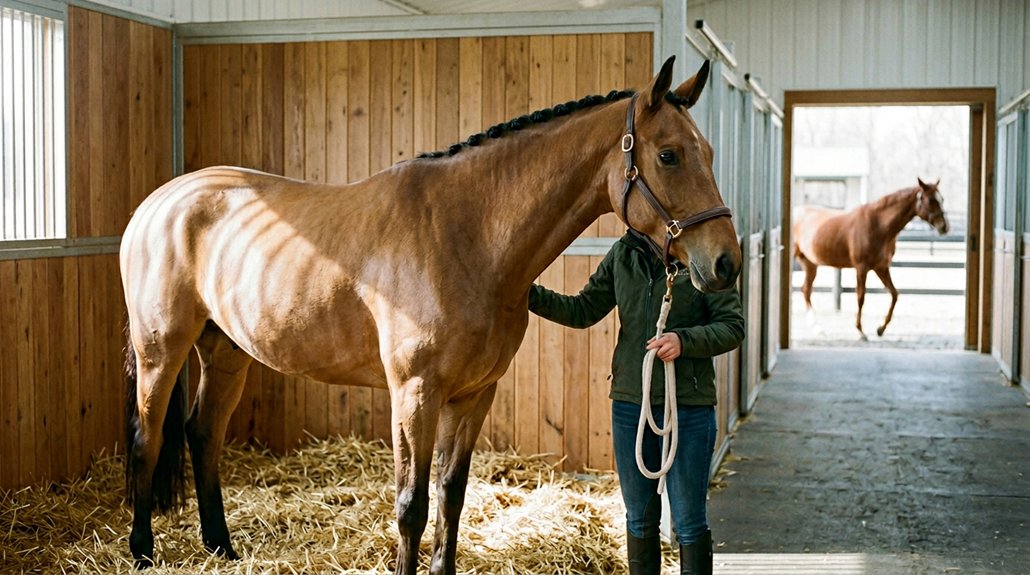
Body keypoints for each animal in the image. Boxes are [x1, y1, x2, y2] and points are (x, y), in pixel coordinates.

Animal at [120, 56, 741, 575]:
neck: (467, 235)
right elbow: (411, 506)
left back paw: (221, 547)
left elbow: (450, 496)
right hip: (162, 350)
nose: (726, 263)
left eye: (711, 153)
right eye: (668, 154)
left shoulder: (473, 395)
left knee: (202, 433)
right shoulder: (414, 393)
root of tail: (157, 203)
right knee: (147, 437)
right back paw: (143, 551)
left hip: (225, 351)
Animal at [792, 178, 949, 340]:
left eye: (942, 199)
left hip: (810, 264)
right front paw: (860, 331)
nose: (944, 227)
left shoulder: (882, 268)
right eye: (931, 200)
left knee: (806, 290)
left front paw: (881, 329)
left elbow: (894, 294)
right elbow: (861, 297)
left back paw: (818, 328)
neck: (878, 225)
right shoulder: (862, 268)